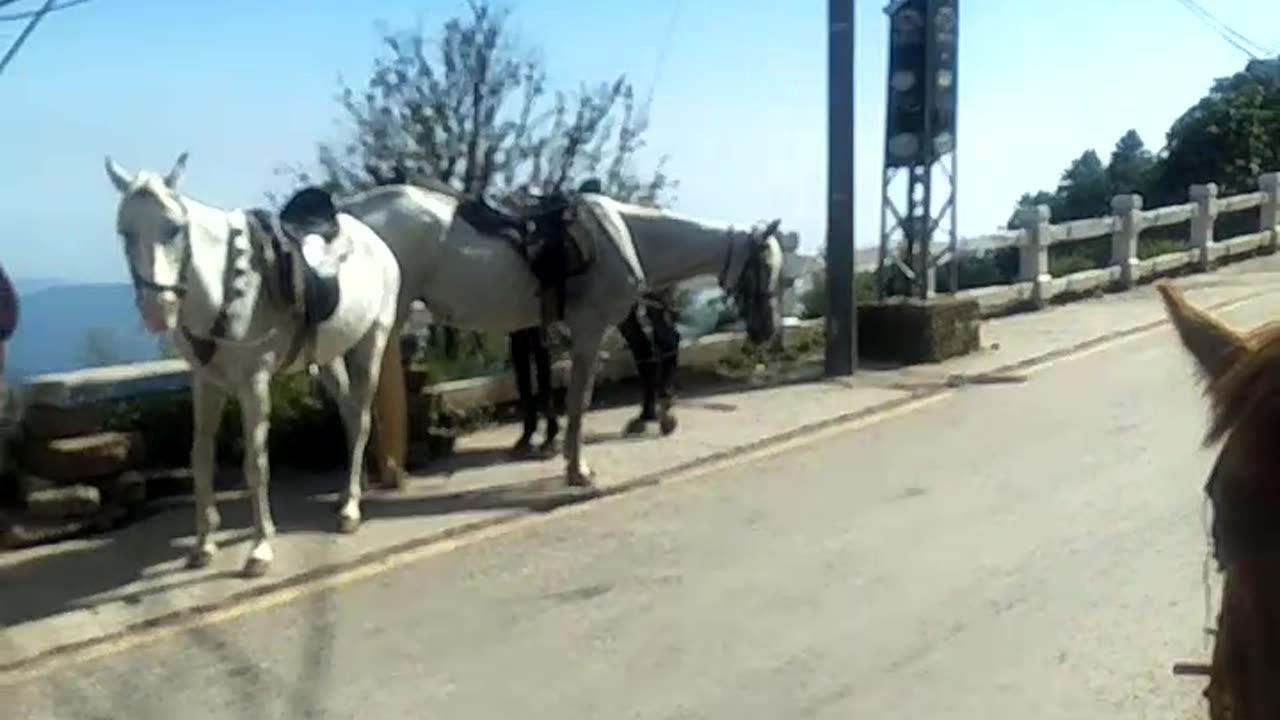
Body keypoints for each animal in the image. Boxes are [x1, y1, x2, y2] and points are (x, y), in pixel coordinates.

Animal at [108, 154, 401, 573]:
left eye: (174, 228)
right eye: (124, 232)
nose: (155, 309)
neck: (222, 287)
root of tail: (376, 241)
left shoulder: (254, 383)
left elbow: (256, 464)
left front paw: (260, 547)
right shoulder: (206, 383)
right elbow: (200, 459)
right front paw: (203, 545)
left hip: (371, 342)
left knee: (360, 419)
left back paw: (350, 509)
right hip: (328, 355)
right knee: (348, 414)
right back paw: (344, 495)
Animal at [343, 179, 778, 486]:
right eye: (762, 267)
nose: (766, 330)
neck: (626, 237)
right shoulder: (588, 327)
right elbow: (576, 399)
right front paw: (575, 469)